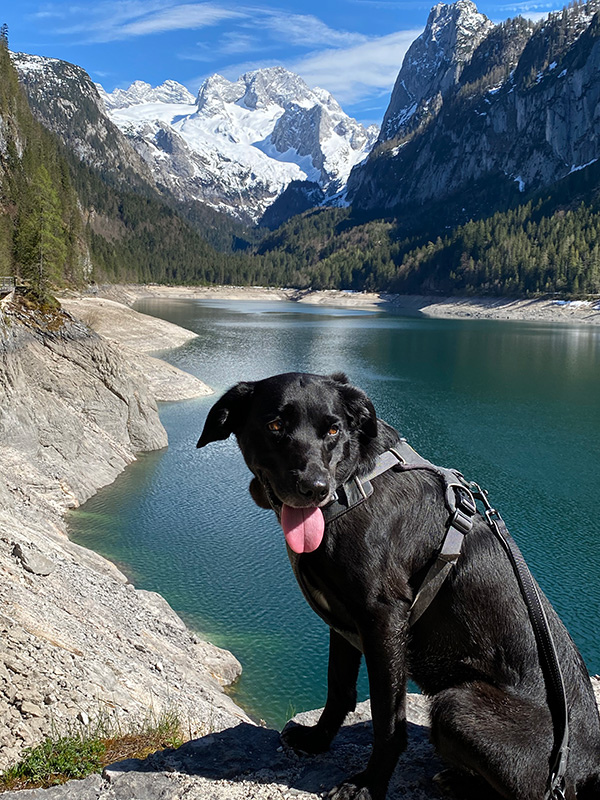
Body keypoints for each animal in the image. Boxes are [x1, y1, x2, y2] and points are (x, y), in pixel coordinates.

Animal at [198, 372, 600, 800]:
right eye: (274, 425)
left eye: (333, 429)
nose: (314, 487)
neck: (354, 486)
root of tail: (586, 770)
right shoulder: (343, 622)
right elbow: (338, 689)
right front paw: (317, 741)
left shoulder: (384, 621)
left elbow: (388, 720)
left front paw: (368, 784)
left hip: (457, 705)